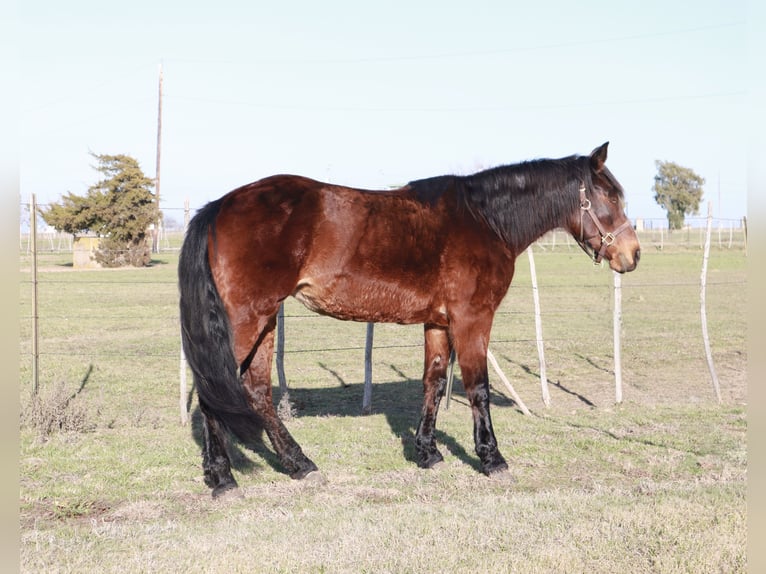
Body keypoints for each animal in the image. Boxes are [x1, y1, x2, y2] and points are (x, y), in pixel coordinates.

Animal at [180, 142, 640, 498]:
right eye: (611, 197)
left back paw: (299, 465)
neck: (484, 219)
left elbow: (433, 382)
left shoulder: (438, 322)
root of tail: (219, 207)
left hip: (264, 321)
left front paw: (428, 452)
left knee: (256, 391)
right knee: (213, 394)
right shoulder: (472, 319)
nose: (632, 255)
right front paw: (491, 458)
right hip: (246, 321)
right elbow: (478, 388)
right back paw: (223, 479)